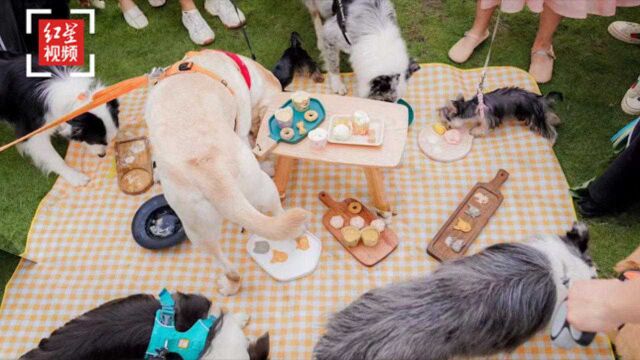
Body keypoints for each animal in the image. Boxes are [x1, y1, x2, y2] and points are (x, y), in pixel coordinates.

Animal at [145, 52, 310, 296]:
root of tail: (210, 172)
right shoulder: (242, 122)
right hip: (261, 187)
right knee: (278, 214)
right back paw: (297, 232)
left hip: (196, 227)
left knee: (223, 261)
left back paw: (231, 283)